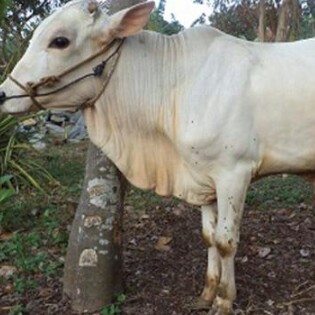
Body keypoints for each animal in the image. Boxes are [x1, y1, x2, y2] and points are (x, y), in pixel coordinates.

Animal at [0, 1, 315, 314]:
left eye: (60, 41)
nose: (4, 94)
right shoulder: (203, 175)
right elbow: (209, 236)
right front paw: (207, 292)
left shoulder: (234, 173)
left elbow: (225, 241)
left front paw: (224, 300)